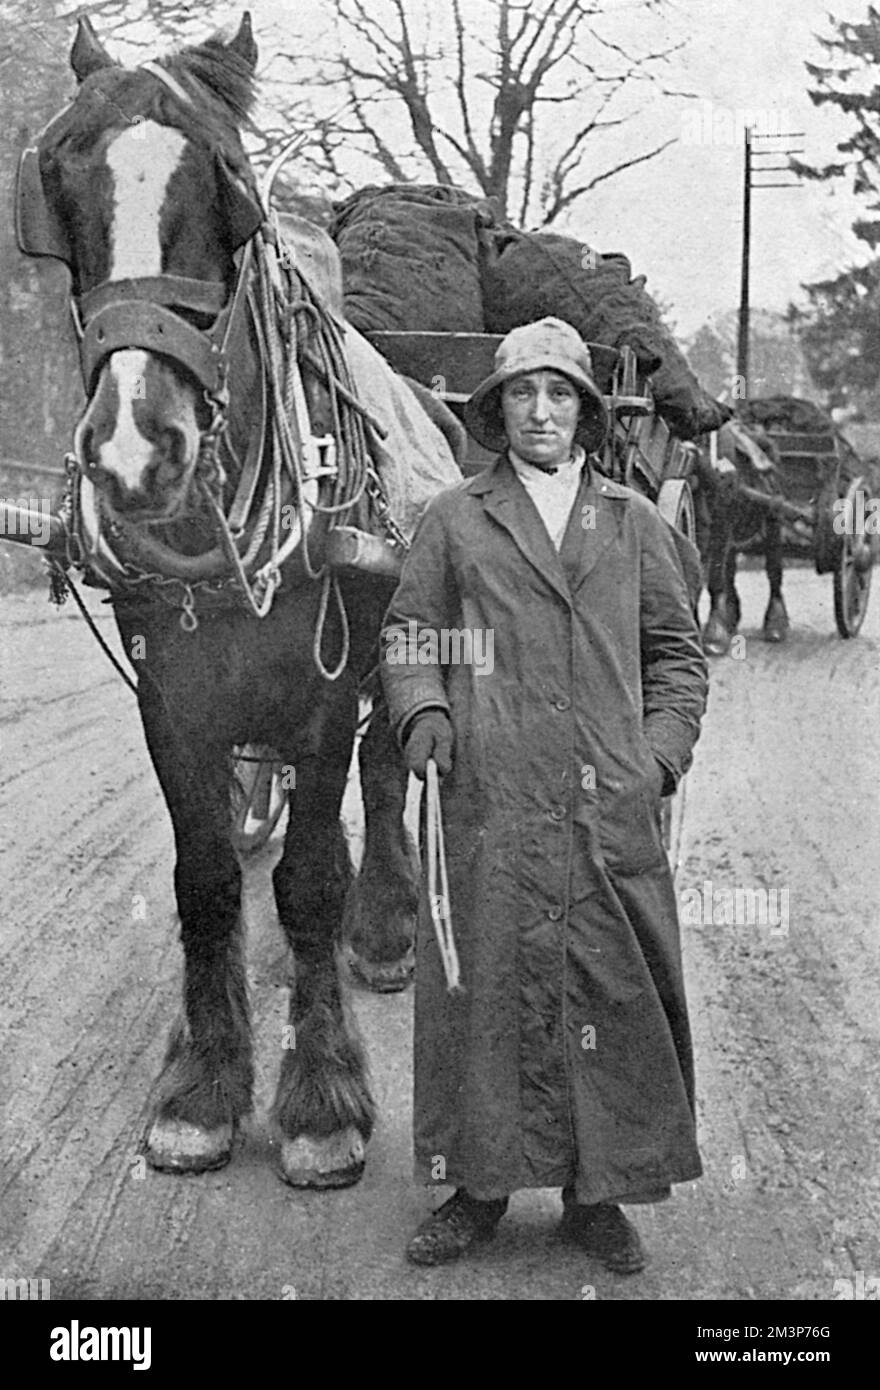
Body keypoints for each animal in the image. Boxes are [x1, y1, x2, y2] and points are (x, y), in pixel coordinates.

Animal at [17, 10, 433, 1184]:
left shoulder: (329, 682)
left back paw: (385, 930)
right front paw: (202, 1084)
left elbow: (309, 879)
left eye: (229, 187)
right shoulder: (170, 692)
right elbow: (205, 878)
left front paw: (321, 1097)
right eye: (59, 180)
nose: (132, 447)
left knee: (385, 782)